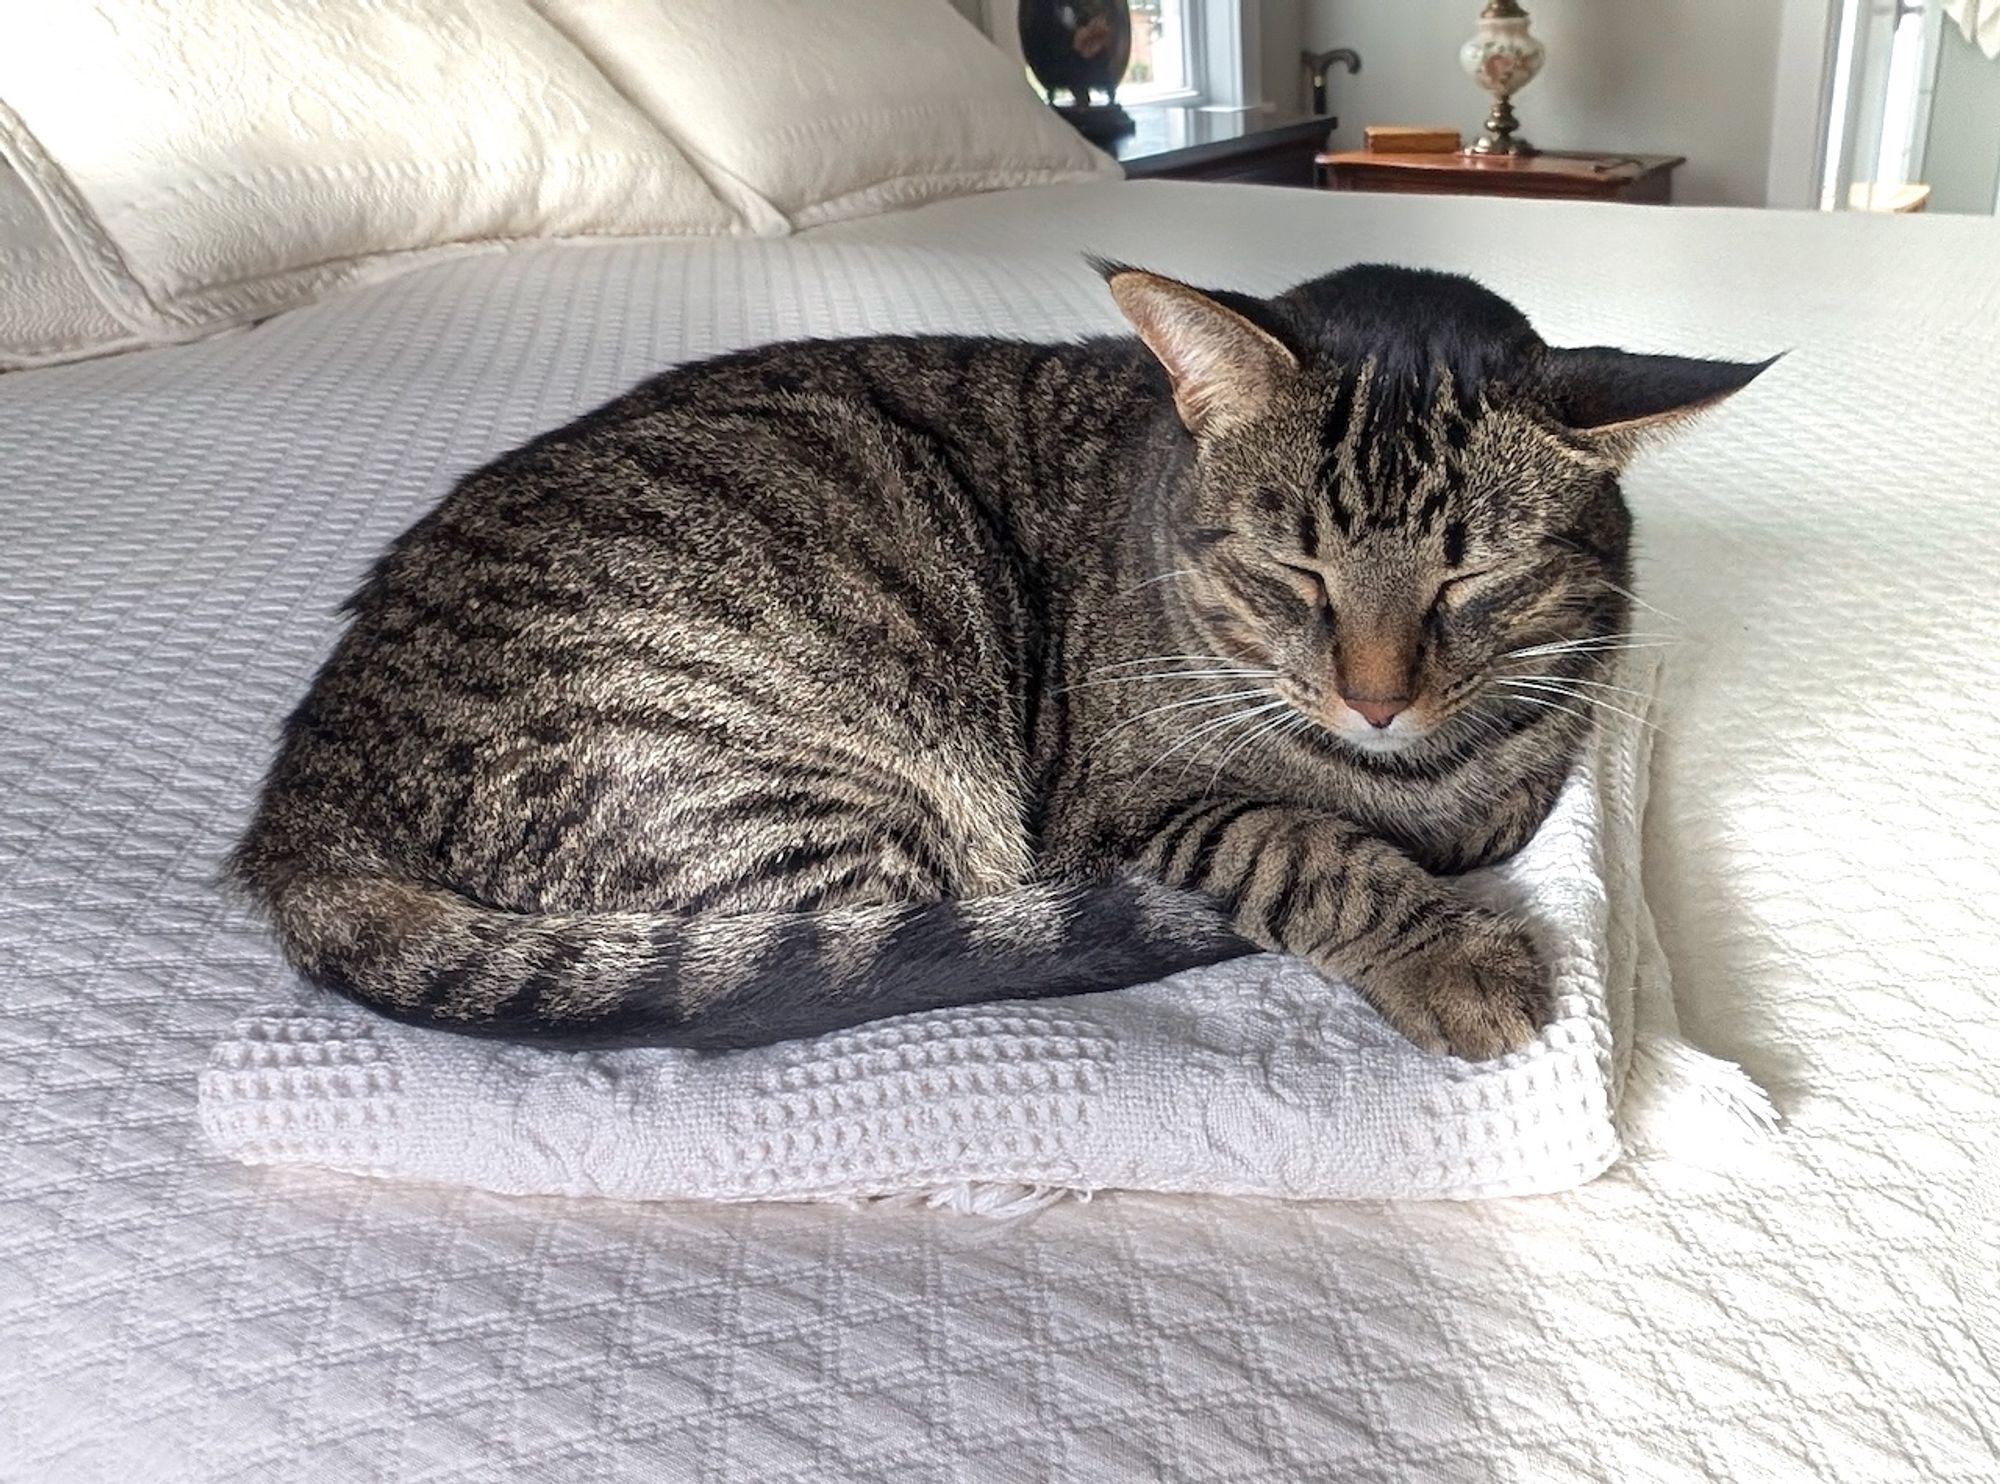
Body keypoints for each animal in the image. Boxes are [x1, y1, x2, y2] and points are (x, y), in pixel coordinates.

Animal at [234, 264, 1768, 1056]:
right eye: (1292, 572)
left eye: (1474, 580)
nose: (1376, 697)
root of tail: (299, 815)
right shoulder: (1129, 805)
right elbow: (1302, 841)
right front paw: (1451, 948)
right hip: (831, 786)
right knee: (845, 969)